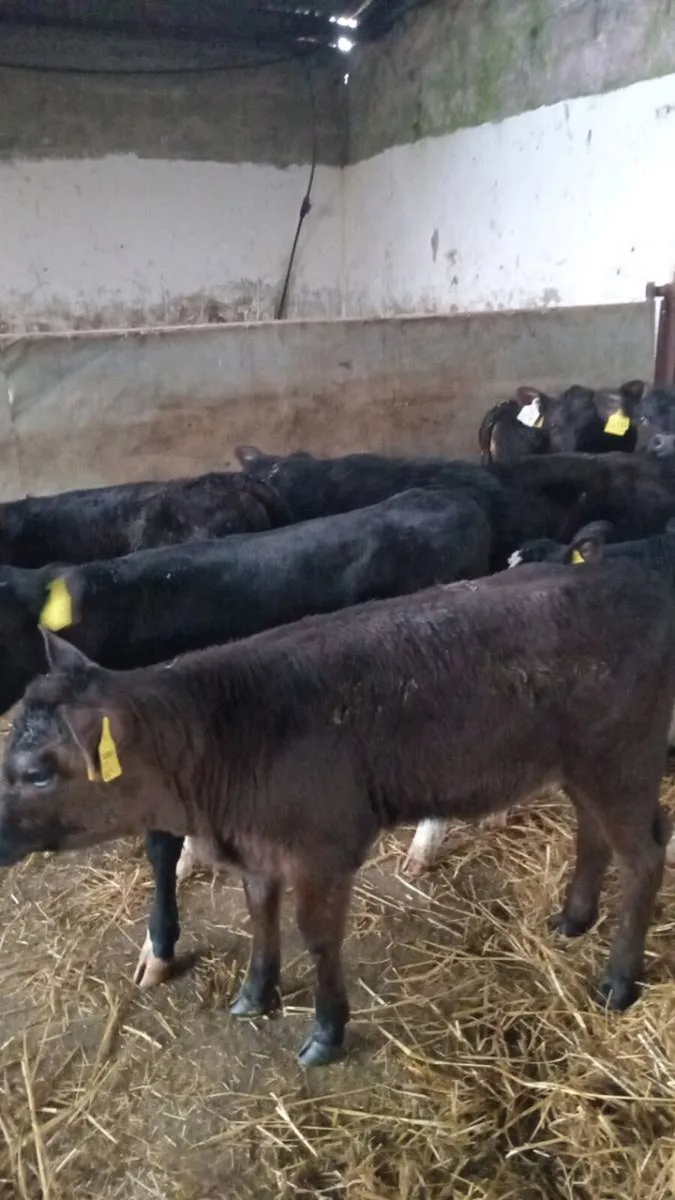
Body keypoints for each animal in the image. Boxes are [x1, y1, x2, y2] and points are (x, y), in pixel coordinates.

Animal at [1, 558, 673, 1066]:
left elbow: (318, 937)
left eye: (38, 771)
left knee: (644, 854)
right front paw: (255, 993)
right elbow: (259, 914)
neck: (225, 734)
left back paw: (619, 981)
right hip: (580, 764)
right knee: (593, 832)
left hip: (621, 758)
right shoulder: (257, 848)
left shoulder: (322, 848)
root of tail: (632, 580)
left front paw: (326, 1031)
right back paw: (574, 918)